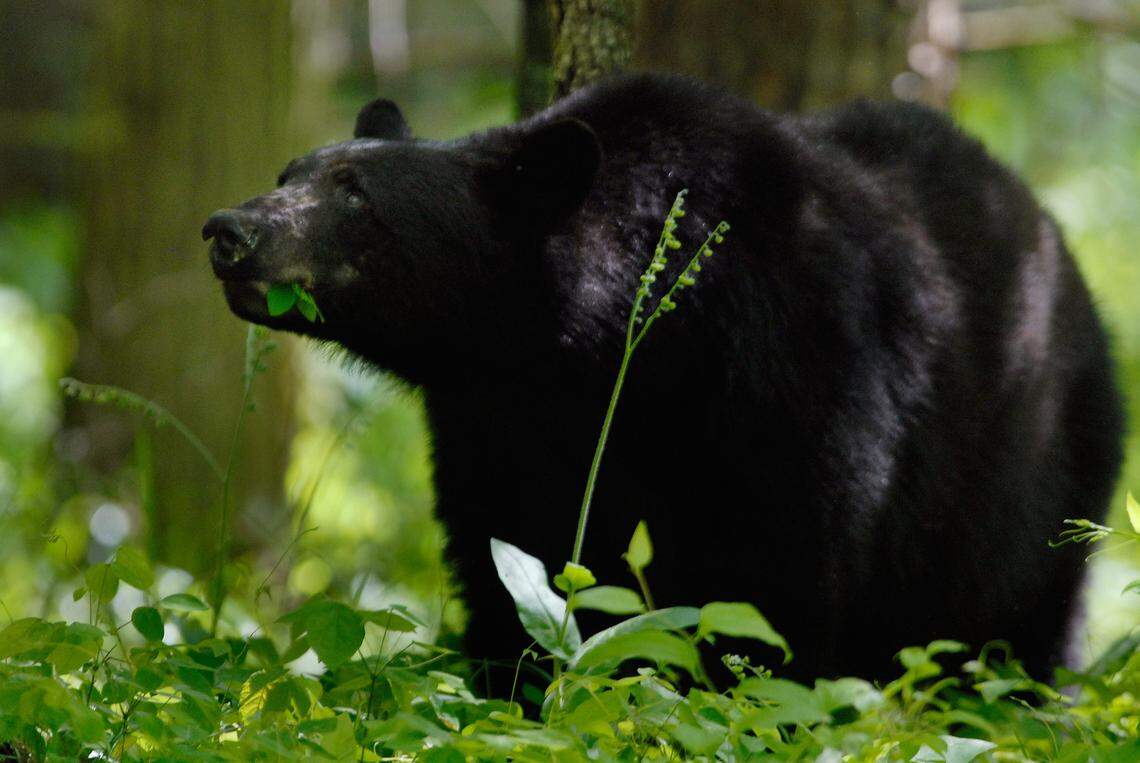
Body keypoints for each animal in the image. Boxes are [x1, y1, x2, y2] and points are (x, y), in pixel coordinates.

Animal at [203, 72, 1123, 683]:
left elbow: (772, 585)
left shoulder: (791, 371)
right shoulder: (495, 423)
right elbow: (508, 564)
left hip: (1034, 480)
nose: (229, 229)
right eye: (289, 173)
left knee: (1022, 621)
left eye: (356, 194)